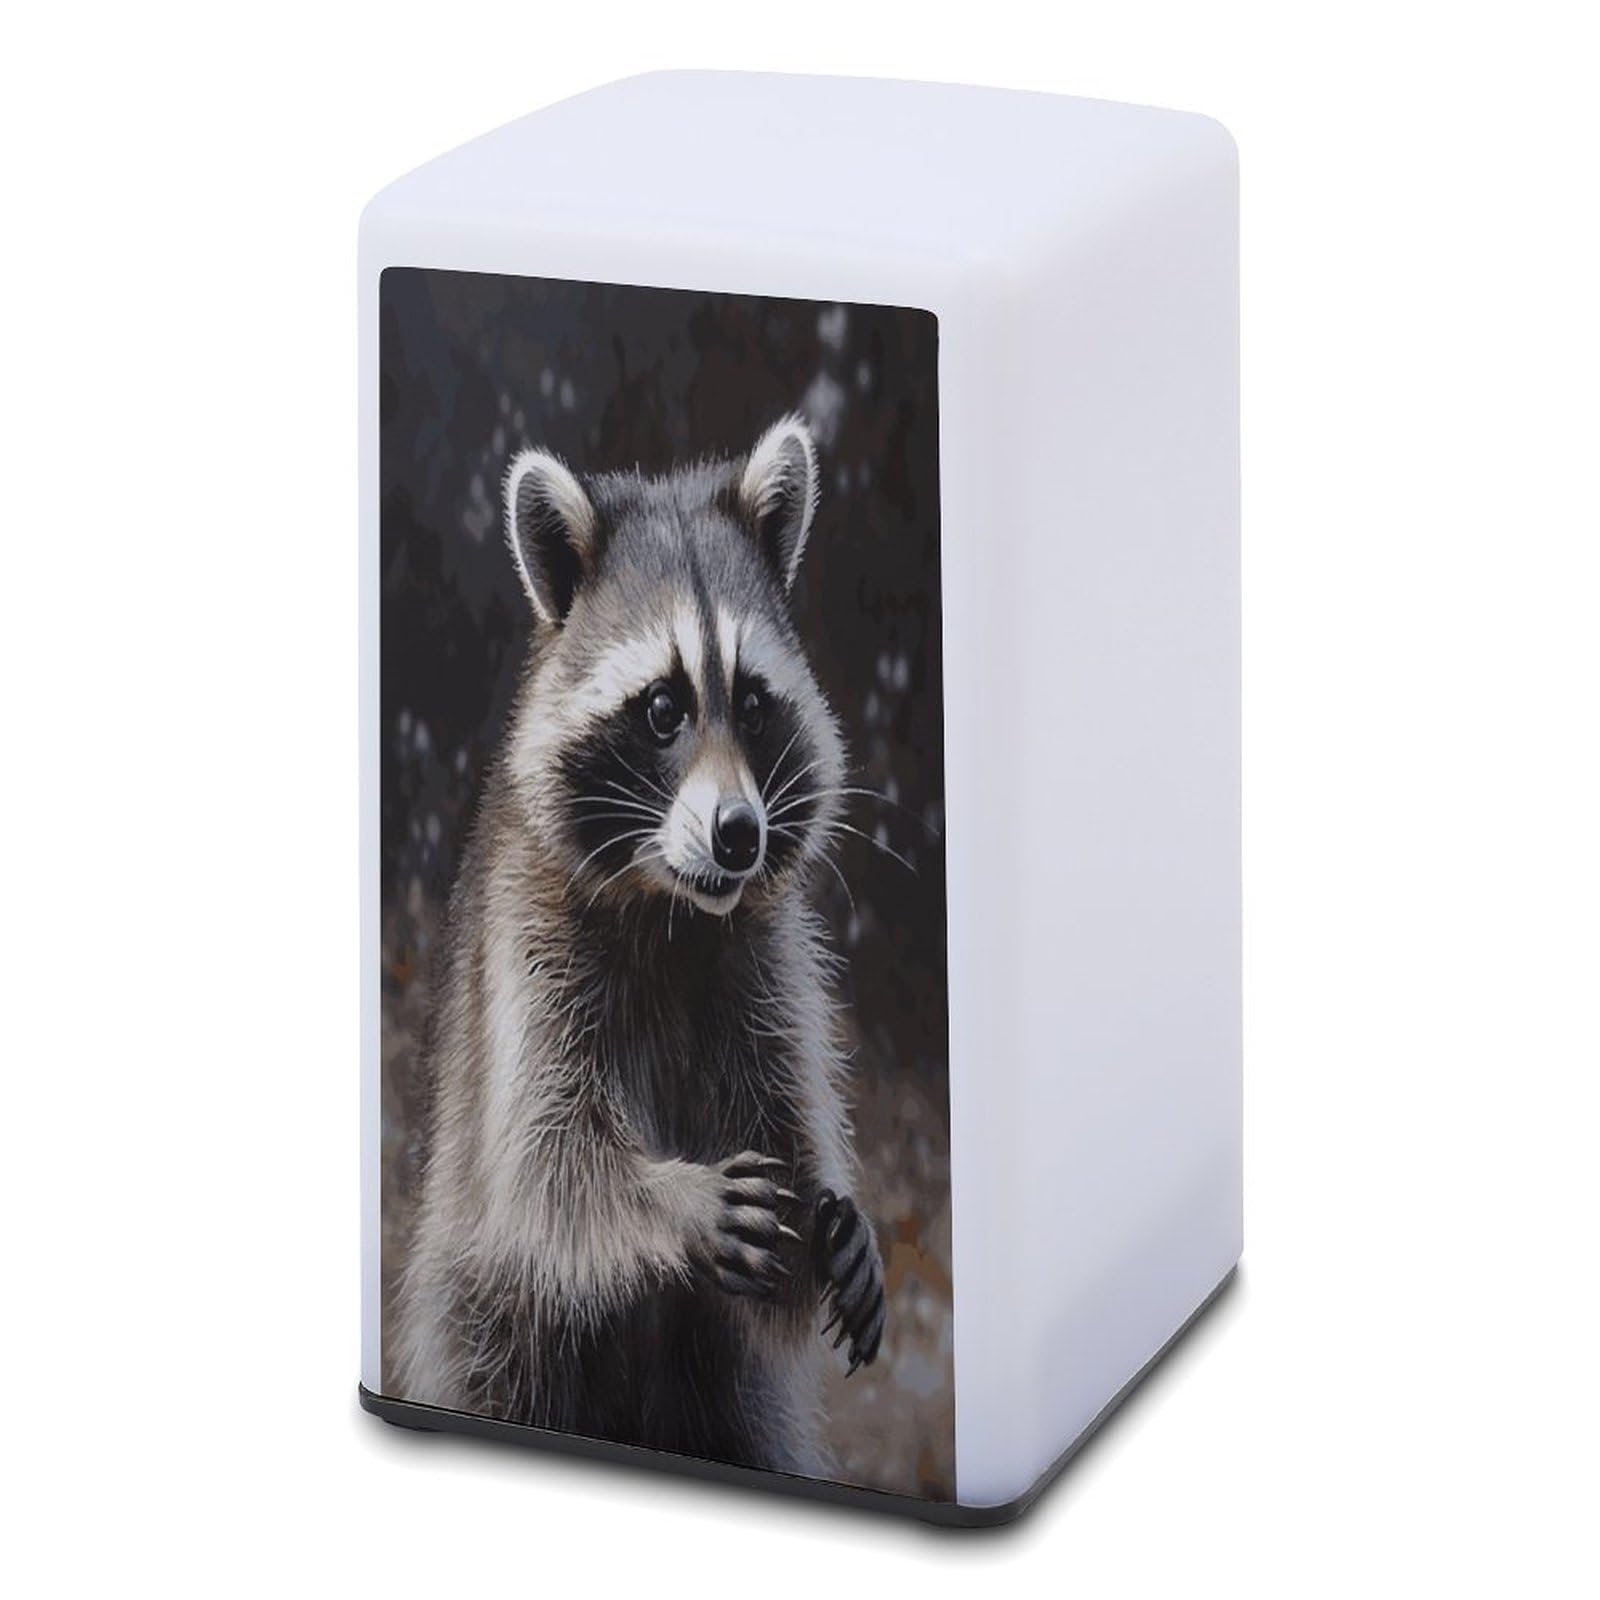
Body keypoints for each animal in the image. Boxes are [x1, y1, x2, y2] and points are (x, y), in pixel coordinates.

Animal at [392, 416, 886, 1474]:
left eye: (753, 703)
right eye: (663, 709)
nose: (739, 834)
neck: (675, 914)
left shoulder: (763, 960)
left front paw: (835, 1220)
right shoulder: (526, 944)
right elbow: (542, 1174)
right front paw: (675, 1202)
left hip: (731, 1403)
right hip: (484, 1339)